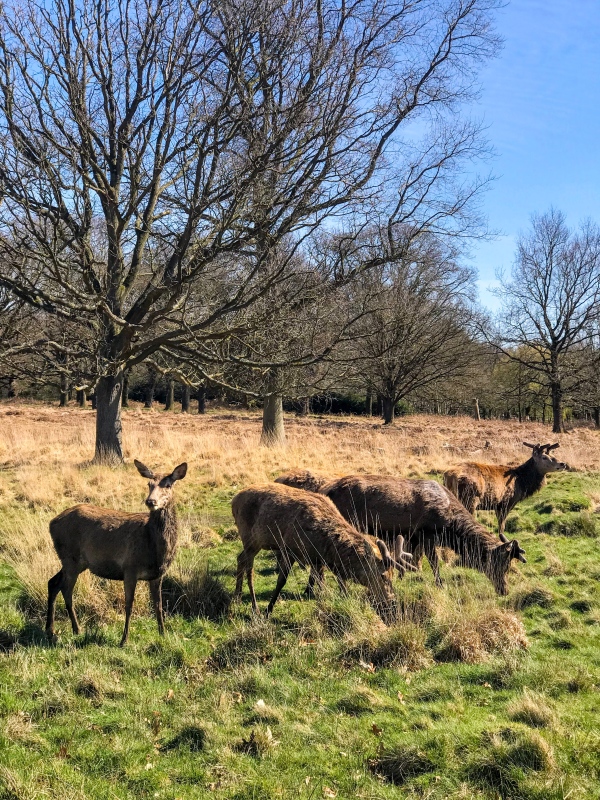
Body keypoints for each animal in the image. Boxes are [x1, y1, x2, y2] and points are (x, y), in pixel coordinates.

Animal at [46, 460, 186, 648]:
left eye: (168, 485)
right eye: (149, 484)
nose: (151, 501)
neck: (156, 550)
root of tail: (51, 523)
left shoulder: (157, 574)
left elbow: (159, 605)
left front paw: (163, 634)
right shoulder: (130, 568)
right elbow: (129, 605)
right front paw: (123, 640)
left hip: (75, 561)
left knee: (53, 582)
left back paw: (51, 630)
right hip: (70, 558)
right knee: (66, 590)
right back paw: (75, 629)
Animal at [229, 484, 412, 620]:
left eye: (392, 575)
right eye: (383, 575)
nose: (392, 601)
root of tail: (233, 500)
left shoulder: (318, 560)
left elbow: (327, 583)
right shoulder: (289, 548)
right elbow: (281, 580)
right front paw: (268, 610)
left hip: (253, 542)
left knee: (240, 558)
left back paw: (237, 597)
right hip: (250, 536)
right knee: (248, 566)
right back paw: (254, 607)